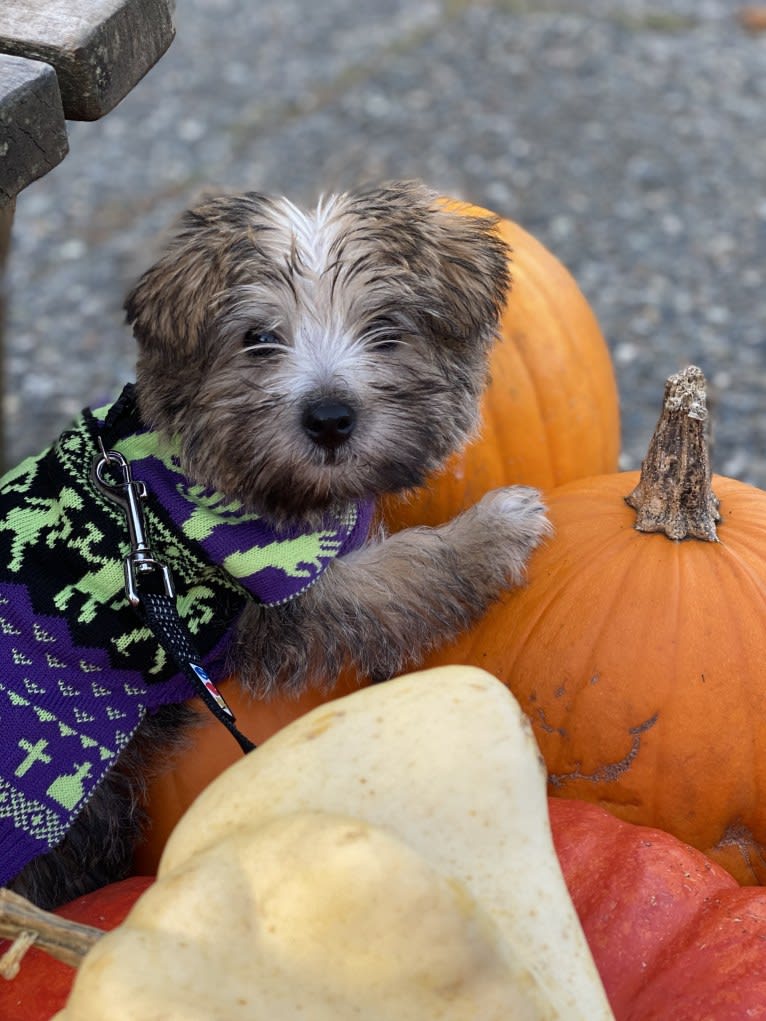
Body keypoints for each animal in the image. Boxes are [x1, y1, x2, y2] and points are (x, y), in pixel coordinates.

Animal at [3, 179, 547, 906]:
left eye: (386, 328)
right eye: (258, 339)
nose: (330, 418)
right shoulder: (290, 585)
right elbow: (410, 566)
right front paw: (498, 528)